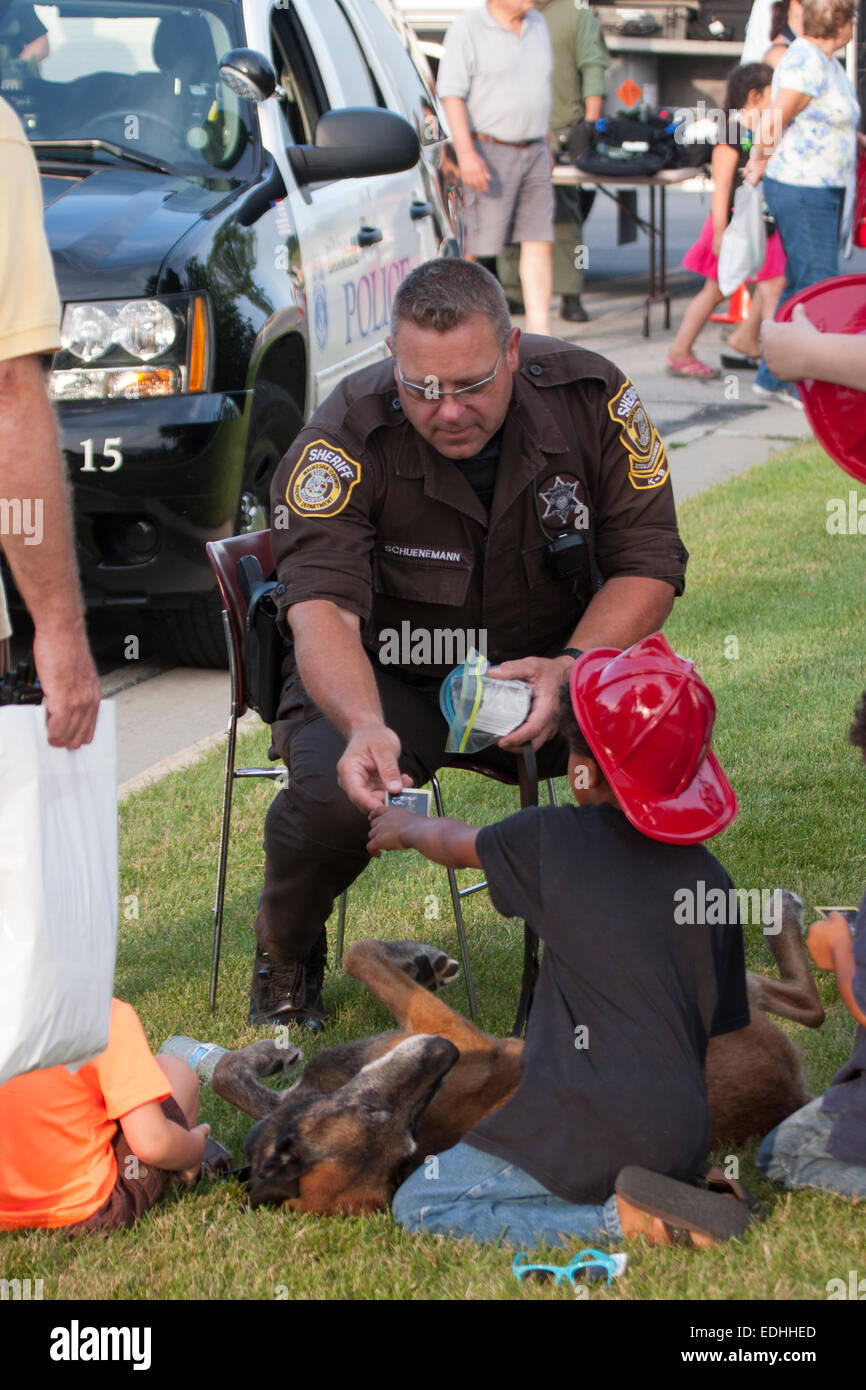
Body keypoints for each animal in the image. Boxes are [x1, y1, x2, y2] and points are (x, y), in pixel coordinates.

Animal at [211, 889, 828, 1217]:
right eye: (378, 1119)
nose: (440, 1055)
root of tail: (791, 1093)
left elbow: (229, 1072)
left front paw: (265, 1057)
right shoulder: (448, 1033)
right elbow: (358, 954)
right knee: (806, 1002)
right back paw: (782, 917)